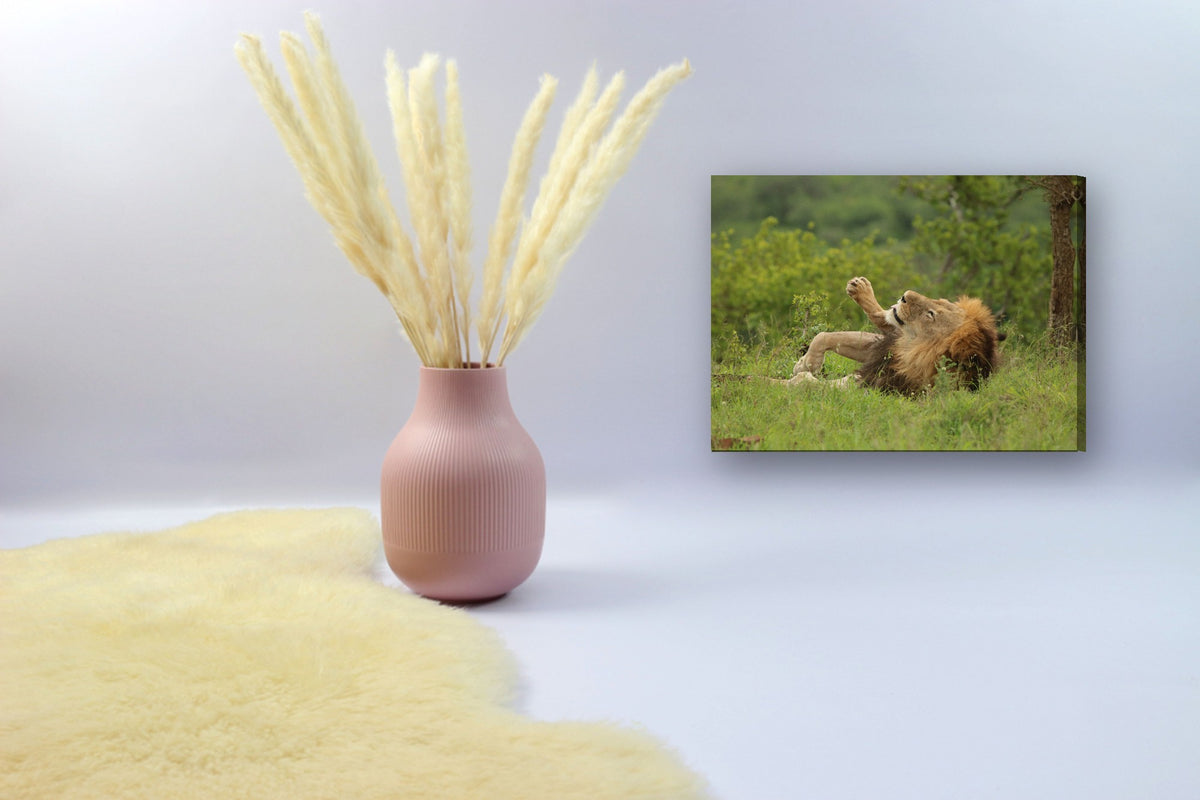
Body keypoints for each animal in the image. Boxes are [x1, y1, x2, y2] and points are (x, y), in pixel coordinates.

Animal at [780, 276, 1000, 394]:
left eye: (931, 314)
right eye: (941, 301)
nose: (905, 296)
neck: (913, 347)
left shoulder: (871, 385)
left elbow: (803, 383)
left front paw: (790, 379)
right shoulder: (886, 350)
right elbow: (824, 336)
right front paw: (806, 363)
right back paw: (860, 287)